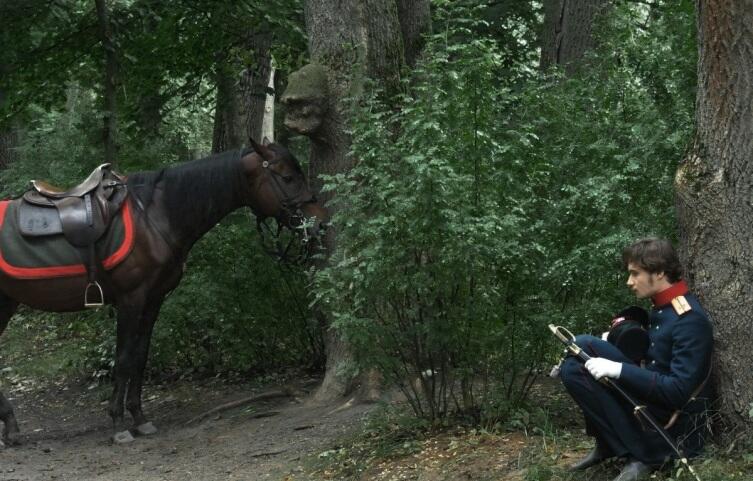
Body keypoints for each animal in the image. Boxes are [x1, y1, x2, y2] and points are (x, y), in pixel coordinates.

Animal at [0, 137, 326, 444]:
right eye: (287, 178)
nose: (319, 222)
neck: (157, 216)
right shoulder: (131, 299)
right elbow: (123, 359)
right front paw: (118, 424)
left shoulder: (153, 300)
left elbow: (140, 357)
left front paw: (139, 418)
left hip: (7, 302)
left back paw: (11, 426)